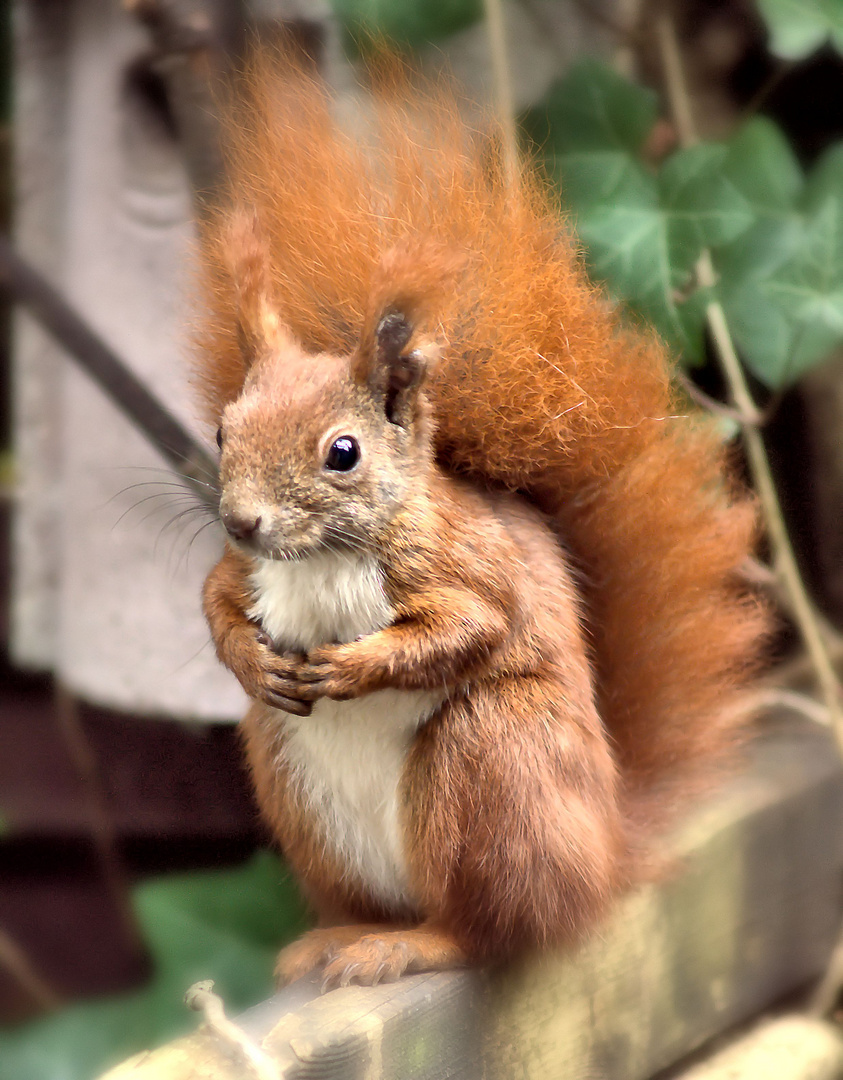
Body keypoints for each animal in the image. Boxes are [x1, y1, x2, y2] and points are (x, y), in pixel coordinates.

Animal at [195, 56, 764, 989]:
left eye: (342, 452)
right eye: (222, 431)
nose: (242, 520)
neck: (321, 557)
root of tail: (603, 855)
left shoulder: (467, 563)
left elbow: (472, 624)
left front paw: (355, 666)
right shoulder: (243, 569)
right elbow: (213, 600)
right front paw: (248, 656)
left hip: (491, 763)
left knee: (491, 929)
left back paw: (409, 945)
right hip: (291, 781)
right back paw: (337, 938)